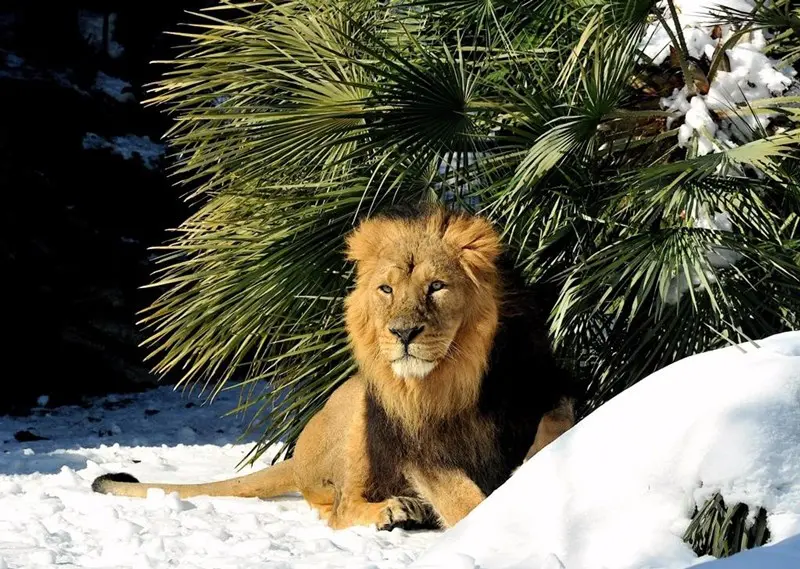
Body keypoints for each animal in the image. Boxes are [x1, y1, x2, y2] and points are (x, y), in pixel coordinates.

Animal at [94, 206, 580, 532]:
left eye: (437, 286)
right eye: (386, 289)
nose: (403, 332)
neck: (452, 379)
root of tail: (297, 457)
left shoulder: (548, 386)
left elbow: (557, 424)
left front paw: (533, 471)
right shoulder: (419, 448)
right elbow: (465, 501)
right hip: (357, 411)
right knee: (340, 507)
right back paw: (393, 511)